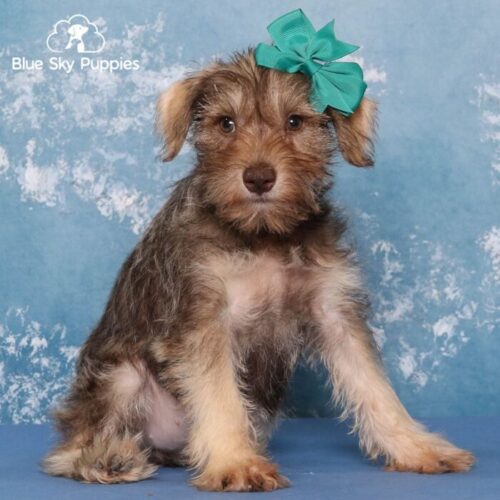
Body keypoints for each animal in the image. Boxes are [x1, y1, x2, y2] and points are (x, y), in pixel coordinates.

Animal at [42, 51, 472, 492]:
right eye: (226, 123)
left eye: (295, 121)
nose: (259, 178)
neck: (265, 236)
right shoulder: (204, 319)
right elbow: (220, 397)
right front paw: (236, 463)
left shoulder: (335, 312)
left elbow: (374, 386)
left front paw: (417, 448)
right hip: (121, 376)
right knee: (70, 448)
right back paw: (108, 458)